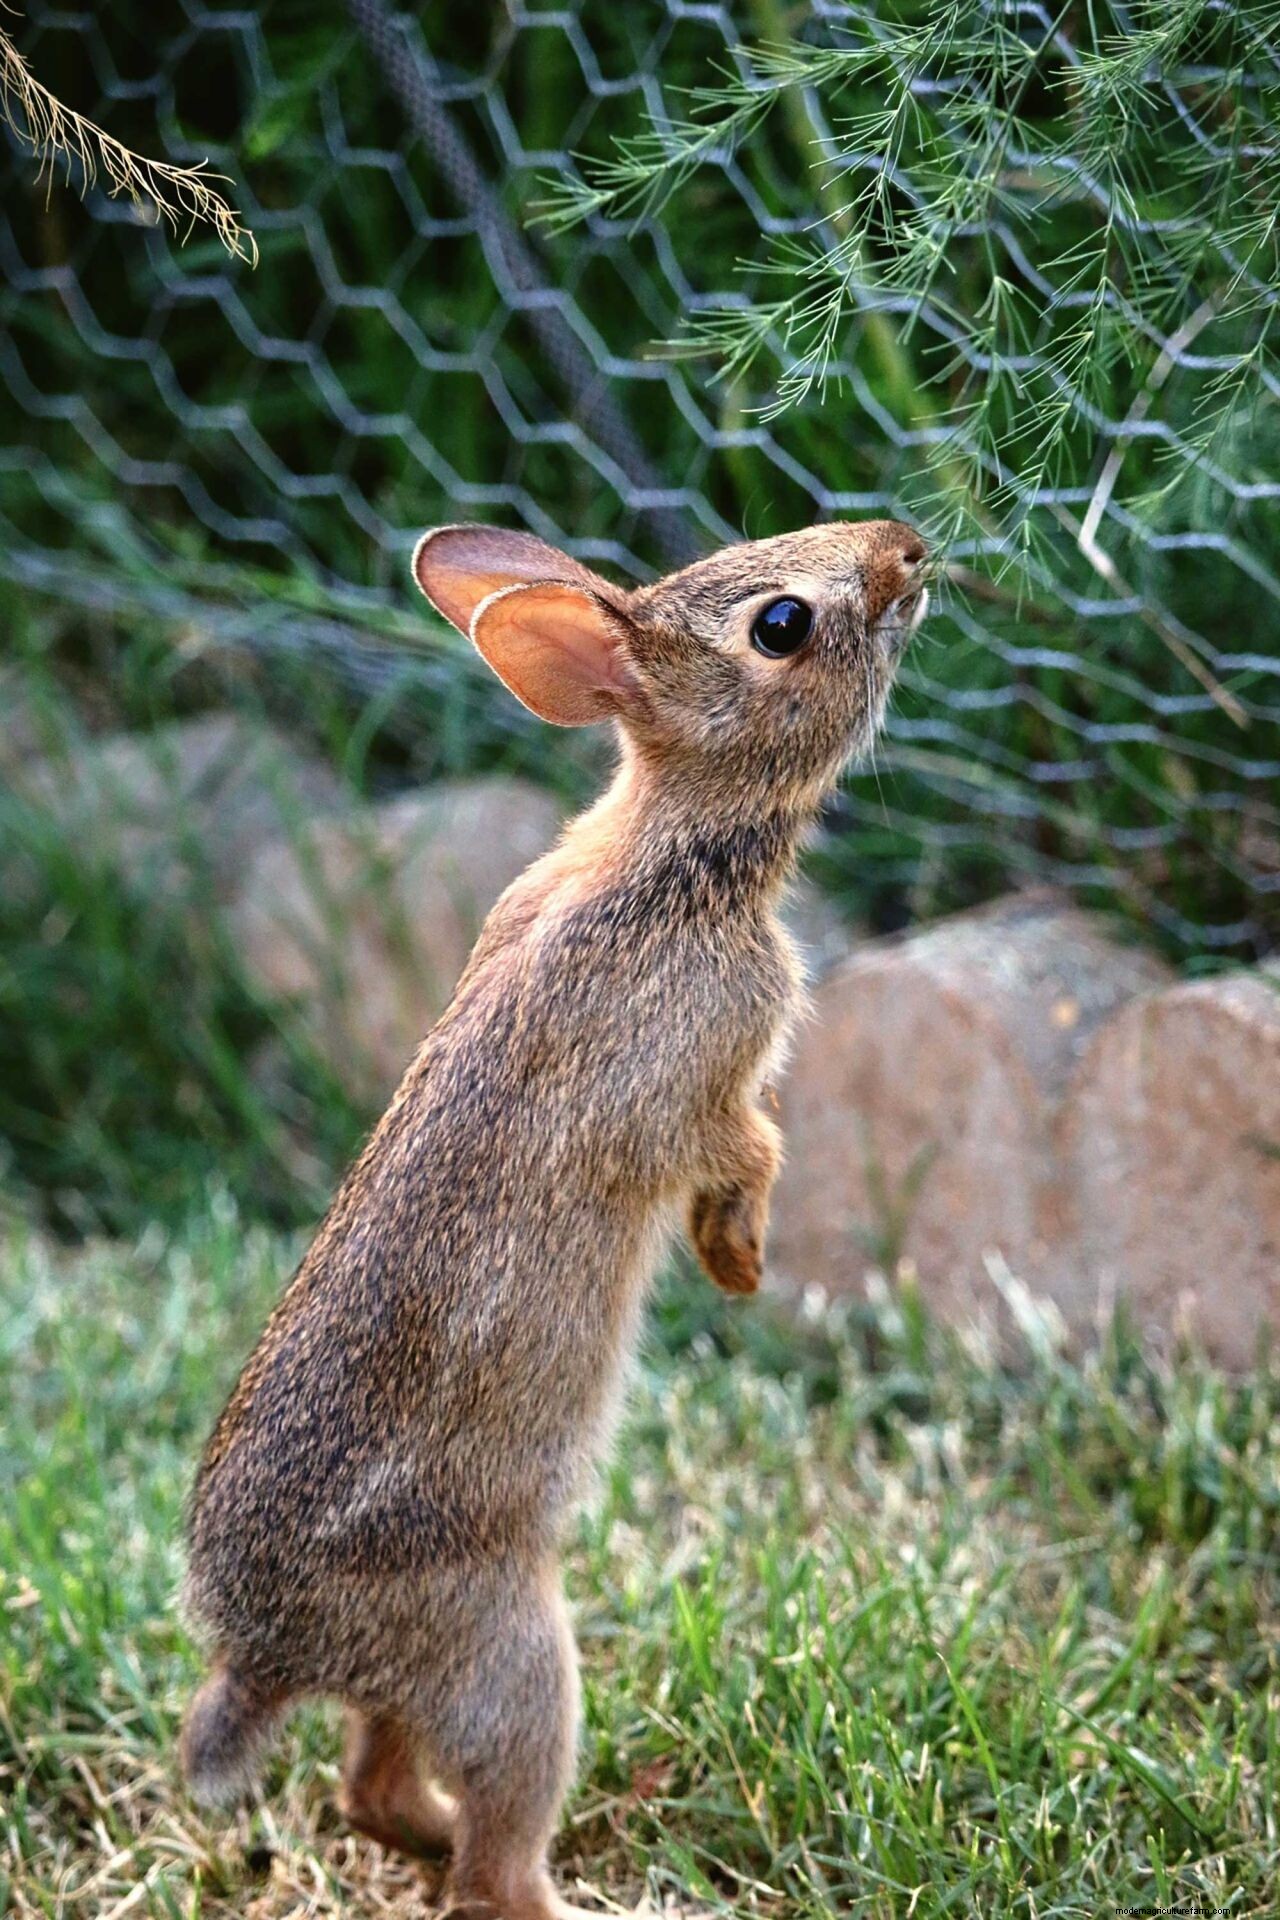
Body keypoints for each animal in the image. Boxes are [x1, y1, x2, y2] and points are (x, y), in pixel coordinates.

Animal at [180, 516, 929, 1919]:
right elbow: (744, 1149)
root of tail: (267, 1657)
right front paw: (741, 1266)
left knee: (370, 1788)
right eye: (782, 624)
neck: (671, 856)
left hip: (426, 1682)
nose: (905, 552)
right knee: (491, 1854)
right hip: (513, 1654)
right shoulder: (695, 1086)